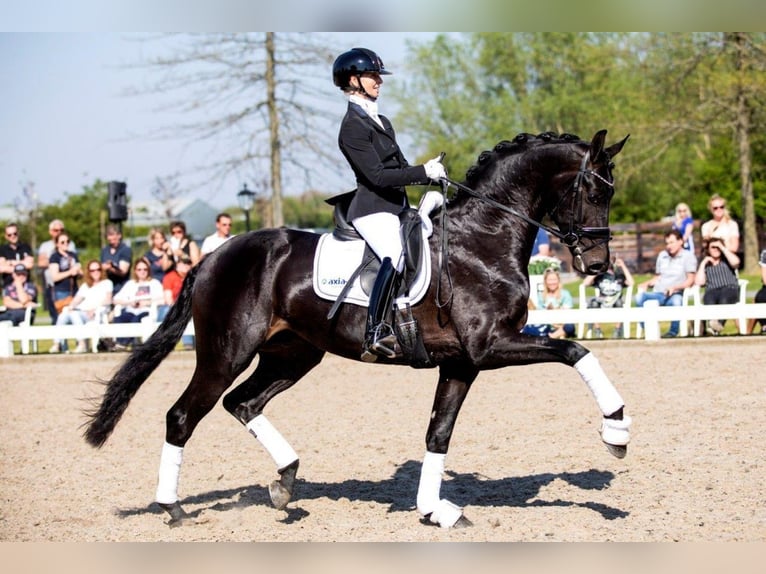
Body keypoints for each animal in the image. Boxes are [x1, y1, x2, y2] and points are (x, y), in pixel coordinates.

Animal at [85, 130, 632, 532]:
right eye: (593, 190)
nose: (598, 265)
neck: (483, 240)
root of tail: (215, 255)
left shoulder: (462, 361)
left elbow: (438, 432)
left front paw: (434, 509)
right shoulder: (489, 346)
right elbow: (576, 350)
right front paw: (616, 430)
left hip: (293, 354)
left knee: (242, 403)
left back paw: (285, 482)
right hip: (226, 352)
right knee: (183, 415)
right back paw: (173, 508)